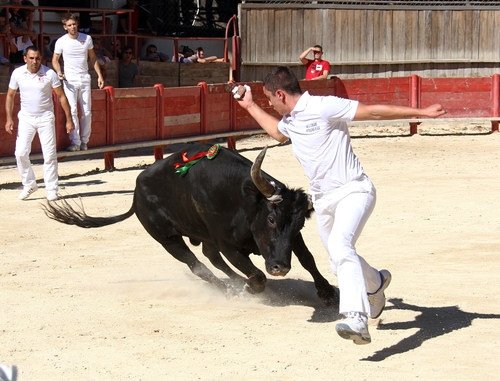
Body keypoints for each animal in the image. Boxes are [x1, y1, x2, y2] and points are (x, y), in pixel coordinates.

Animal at [44, 142, 340, 306]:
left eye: (299, 224)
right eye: (270, 218)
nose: (280, 268)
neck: (242, 199)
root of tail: (136, 194)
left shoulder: (289, 240)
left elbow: (308, 258)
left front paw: (326, 292)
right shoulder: (227, 243)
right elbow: (256, 275)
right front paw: (250, 288)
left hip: (200, 236)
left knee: (211, 259)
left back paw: (235, 284)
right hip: (168, 239)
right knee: (198, 266)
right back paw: (230, 290)